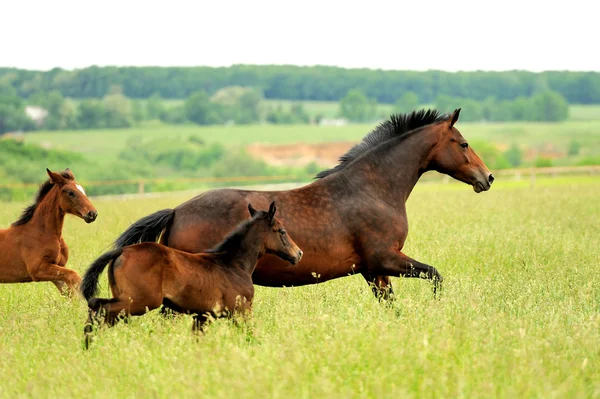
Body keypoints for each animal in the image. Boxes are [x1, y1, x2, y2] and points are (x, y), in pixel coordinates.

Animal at [79, 202, 302, 346]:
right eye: (282, 231)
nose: (298, 253)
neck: (233, 264)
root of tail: (122, 251)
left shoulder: (202, 316)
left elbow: (197, 340)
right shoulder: (241, 310)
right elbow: (250, 334)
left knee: (97, 309)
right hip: (140, 302)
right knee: (100, 308)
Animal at [111, 109, 492, 300]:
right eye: (463, 143)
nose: (486, 178)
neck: (372, 189)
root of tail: (176, 212)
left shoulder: (374, 270)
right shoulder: (385, 258)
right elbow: (435, 276)